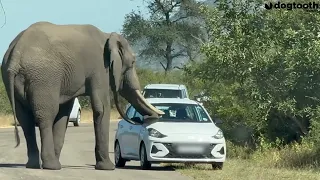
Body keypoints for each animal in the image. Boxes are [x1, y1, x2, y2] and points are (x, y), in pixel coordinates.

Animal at [2, 21, 166, 170]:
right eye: (132, 63)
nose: (151, 118)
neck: (107, 36)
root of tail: (16, 53)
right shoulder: (100, 67)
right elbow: (101, 108)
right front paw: (108, 168)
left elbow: (64, 114)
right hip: (43, 77)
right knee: (45, 116)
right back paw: (52, 166)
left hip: (19, 78)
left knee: (25, 120)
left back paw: (34, 165)